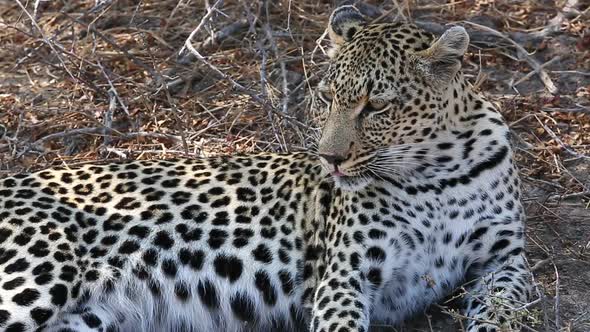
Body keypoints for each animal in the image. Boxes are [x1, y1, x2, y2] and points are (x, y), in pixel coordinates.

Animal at [0, 5, 536, 332]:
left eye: (377, 107)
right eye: (327, 97)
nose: (329, 158)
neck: (435, 173)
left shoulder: (506, 259)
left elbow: (506, 309)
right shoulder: (344, 275)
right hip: (39, 272)